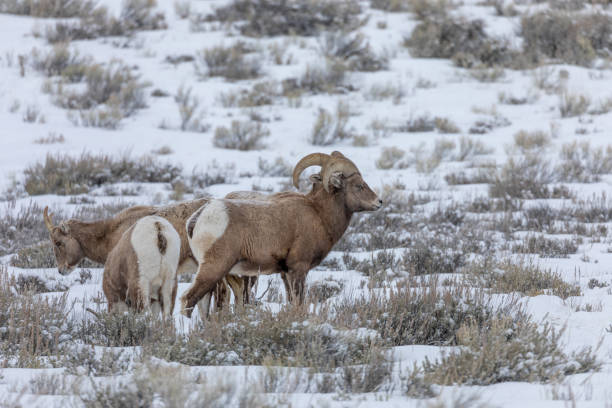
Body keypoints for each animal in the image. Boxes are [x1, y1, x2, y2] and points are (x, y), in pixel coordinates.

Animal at [179, 151, 382, 318]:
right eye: (358, 186)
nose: (379, 202)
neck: (319, 214)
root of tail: (198, 218)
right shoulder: (299, 269)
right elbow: (299, 302)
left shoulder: (285, 273)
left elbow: (291, 301)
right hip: (214, 268)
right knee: (188, 300)